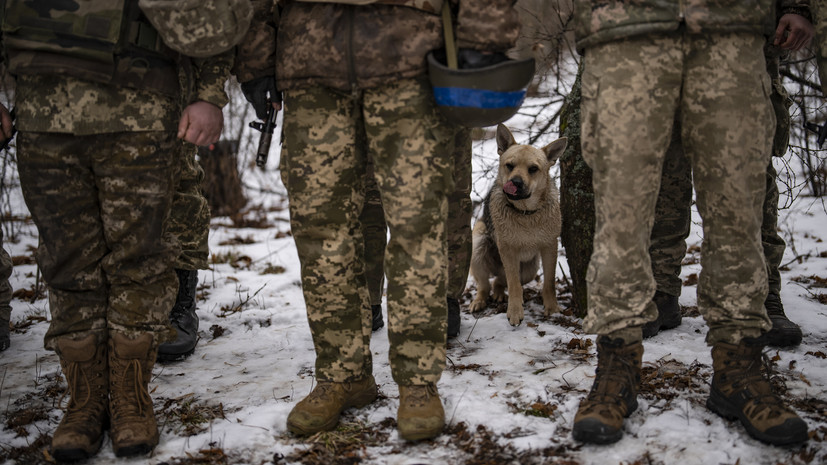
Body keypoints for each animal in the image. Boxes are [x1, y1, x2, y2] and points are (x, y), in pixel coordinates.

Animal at [468, 124, 568, 326]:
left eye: (533, 169)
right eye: (509, 166)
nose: (515, 182)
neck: (526, 213)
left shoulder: (550, 246)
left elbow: (549, 283)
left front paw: (552, 308)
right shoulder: (508, 250)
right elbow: (514, 285)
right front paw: (515, 312)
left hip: (530, 269)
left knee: (498, 280)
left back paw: (499, 293)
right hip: (478, 243)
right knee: (485, 284)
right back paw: (479, 301)